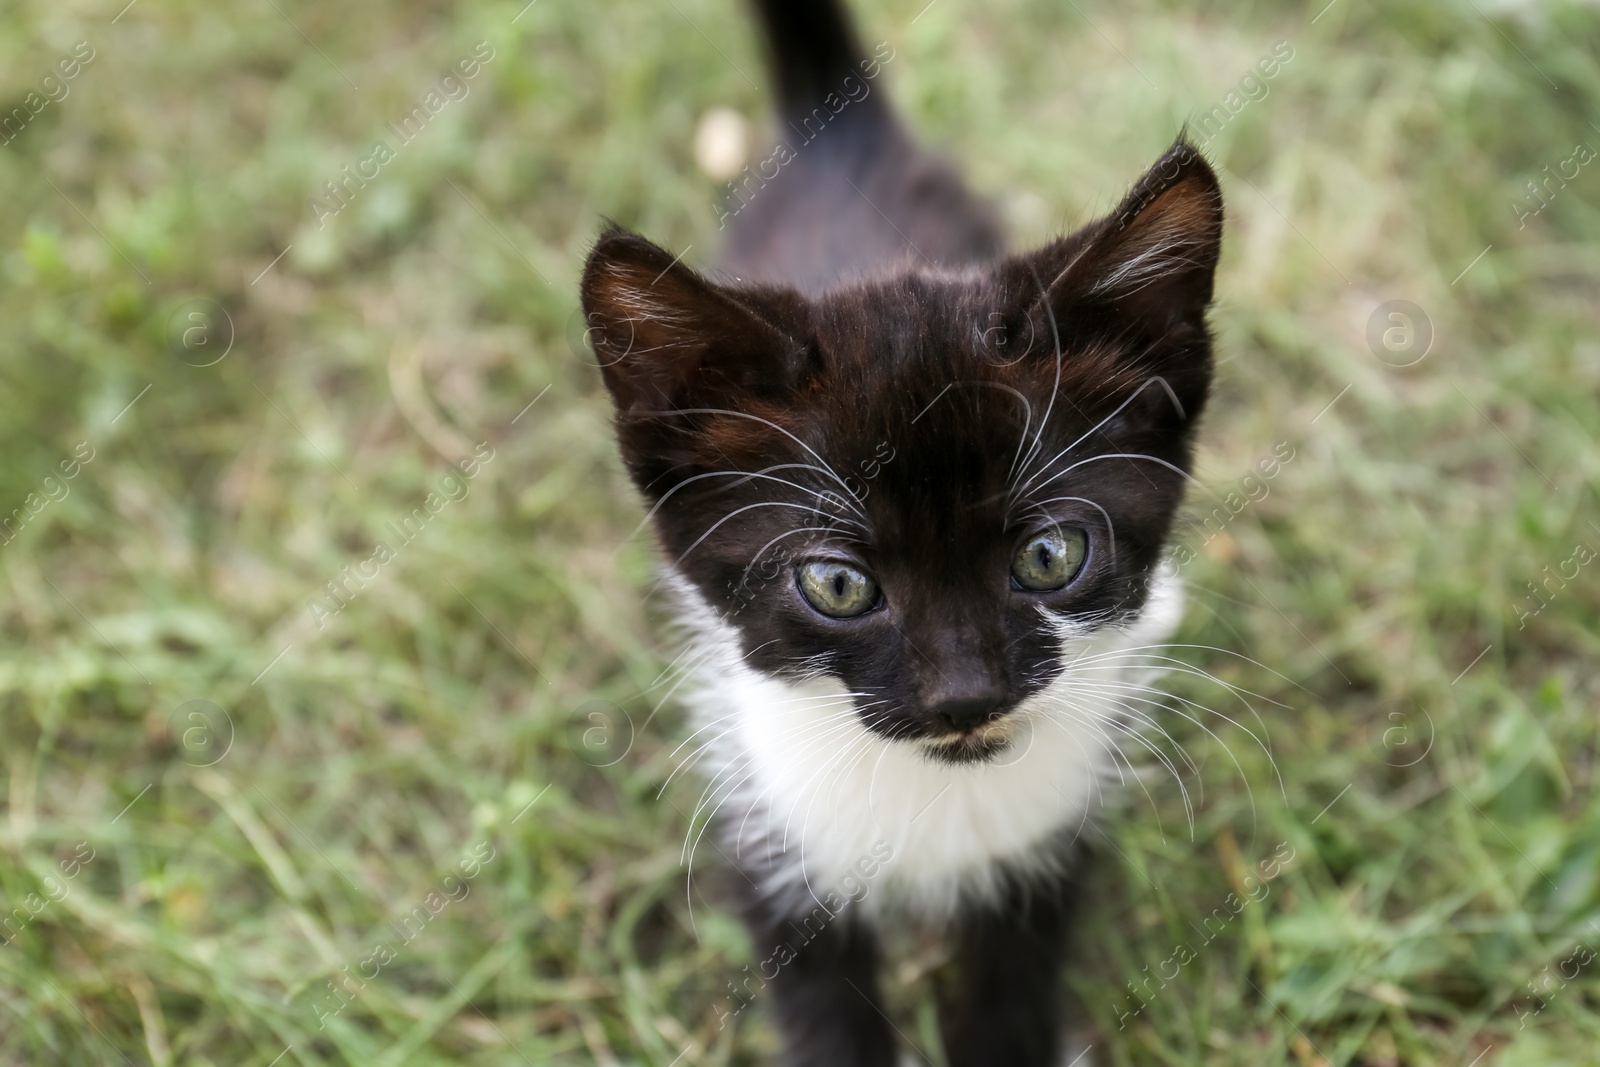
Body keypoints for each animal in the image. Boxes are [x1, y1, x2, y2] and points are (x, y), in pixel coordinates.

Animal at [588, 4, 1222, 1062]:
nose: (965, 696)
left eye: (1049, 556)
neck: (938, 794)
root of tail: (841, 136)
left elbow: (1012, 992)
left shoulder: (1049, 852)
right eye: (838, 585)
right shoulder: (769, 832)